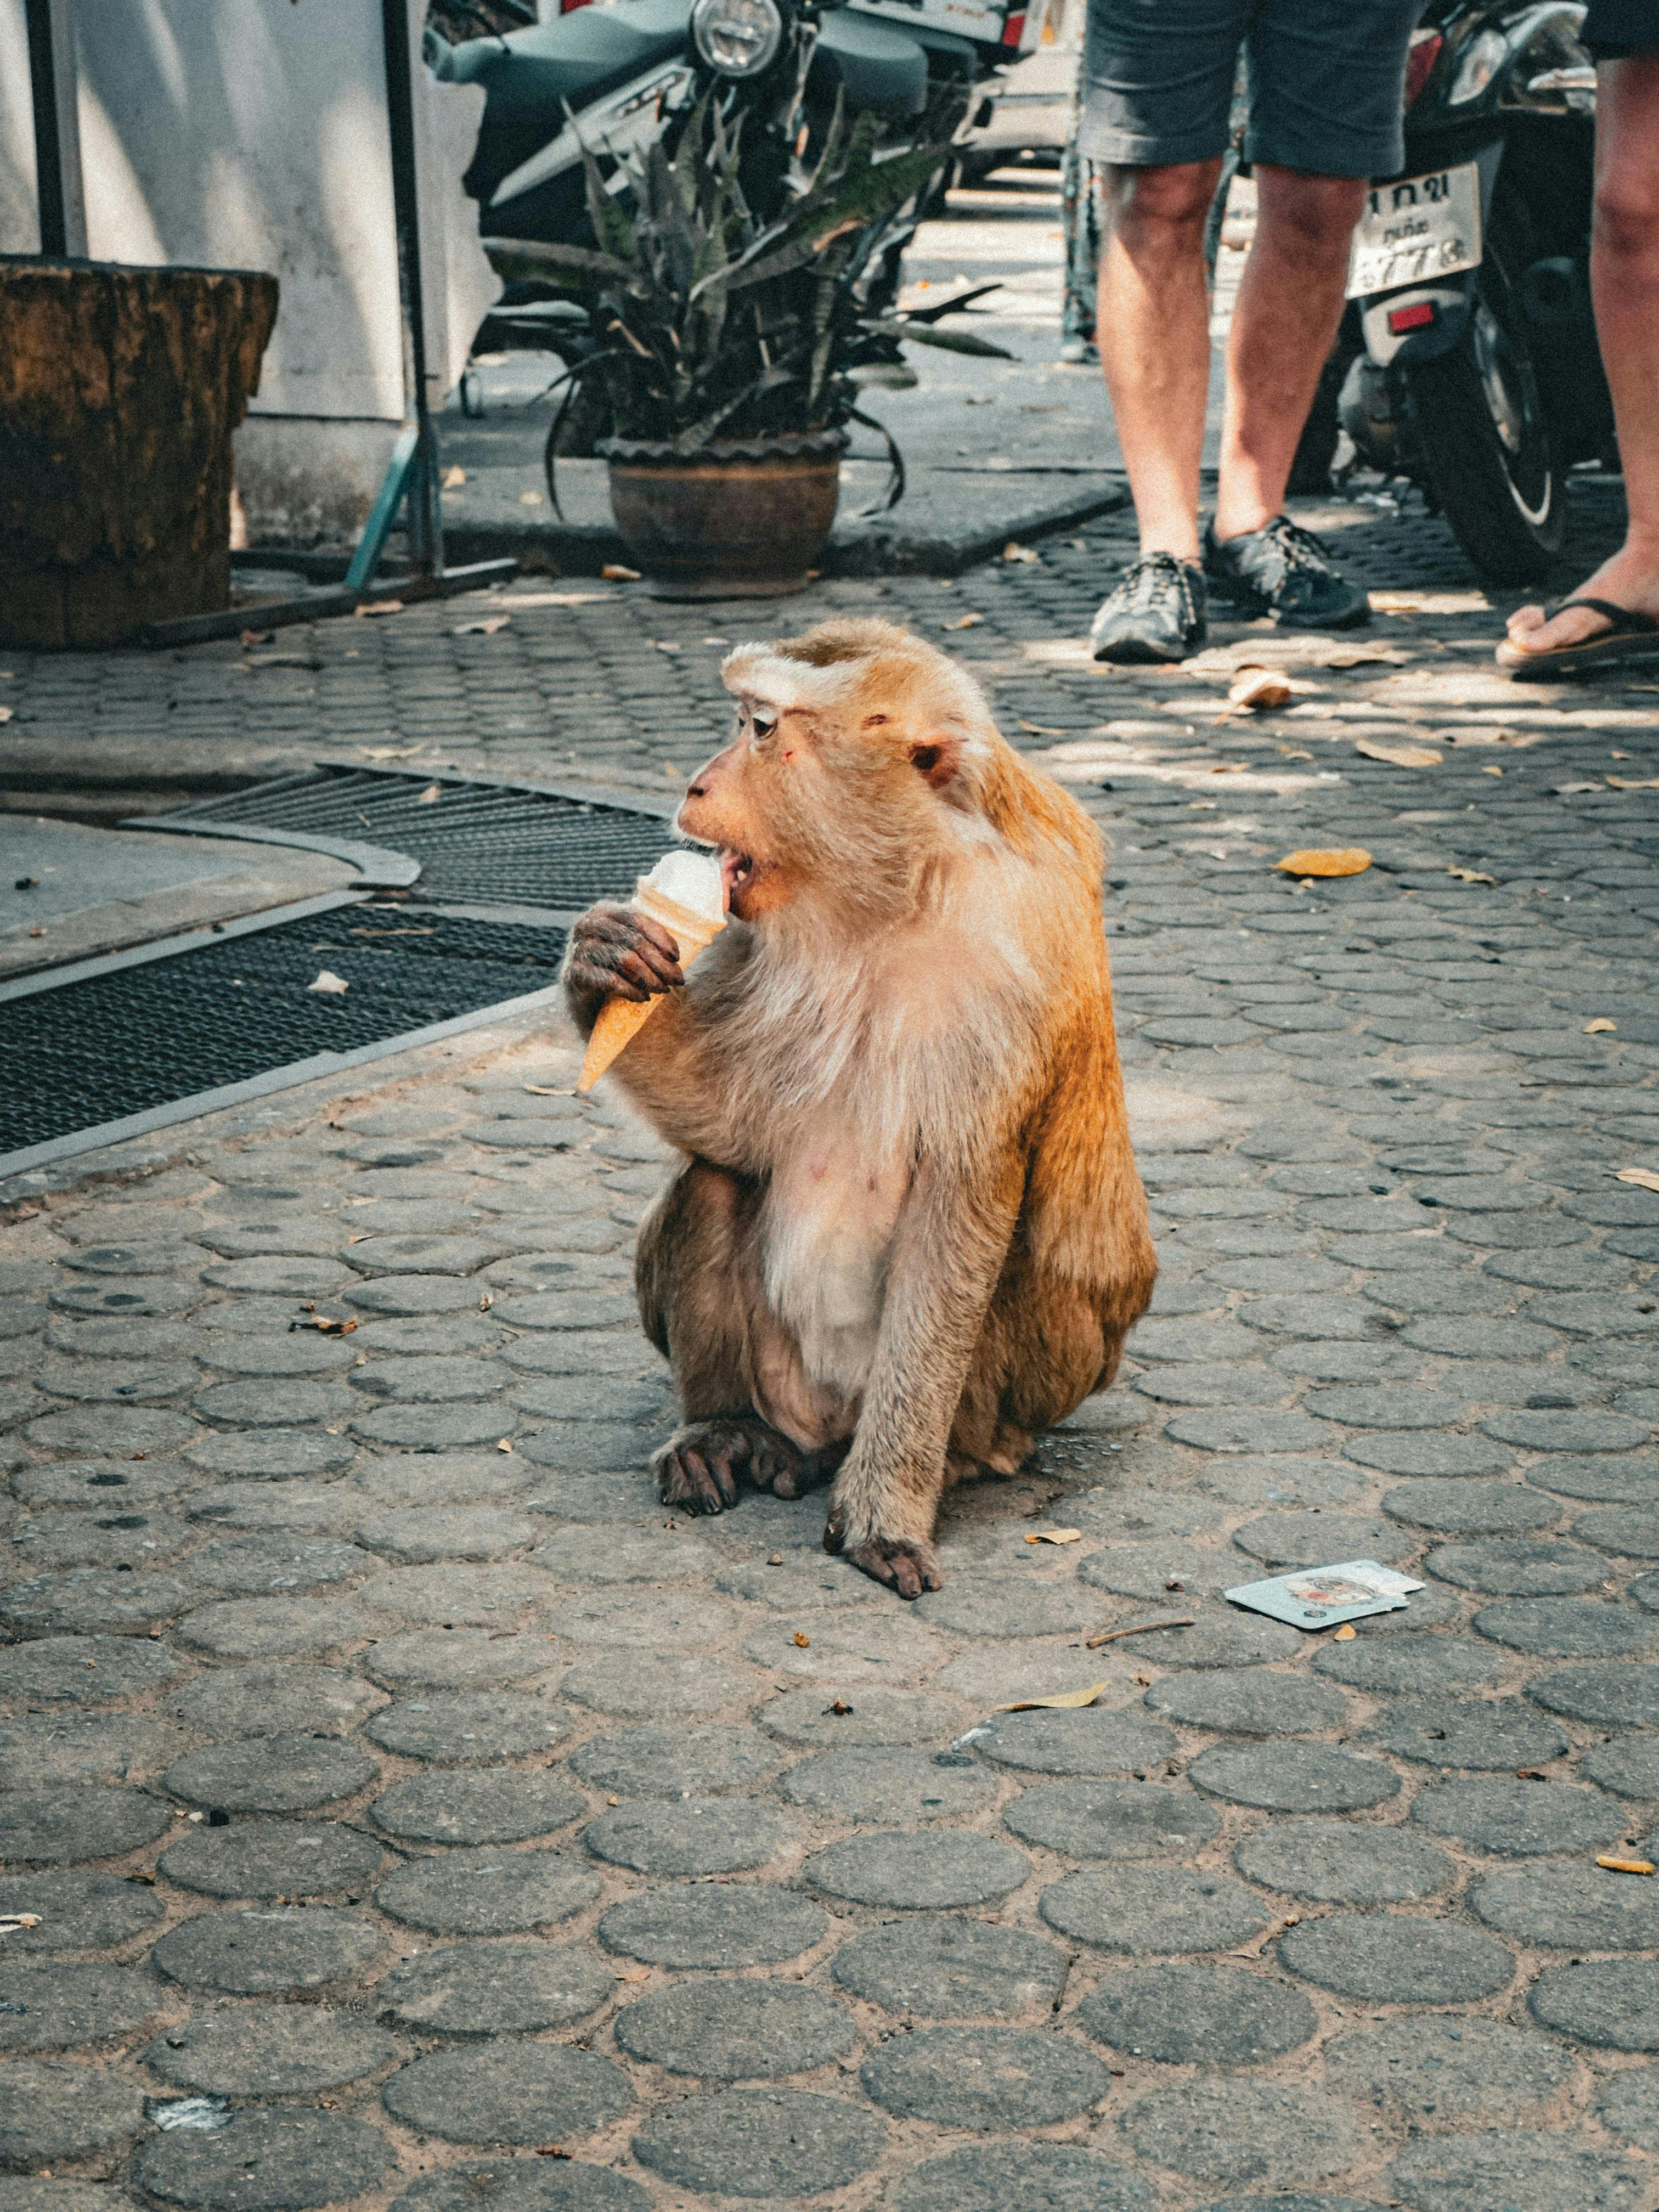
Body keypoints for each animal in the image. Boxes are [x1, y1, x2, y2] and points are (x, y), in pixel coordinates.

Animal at [562, 615, 1155, 1598]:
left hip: (1030, 1386)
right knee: (712, 1181)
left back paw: (952, 1461)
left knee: (1004, 1266)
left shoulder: (1015, 961)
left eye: (762, 729)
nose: (695, 782)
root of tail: (821, 1429)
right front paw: (599, 961)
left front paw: (890, 1507)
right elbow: (729, 1115)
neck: (895, 890)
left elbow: (963, 1203)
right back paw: (730, 1431)